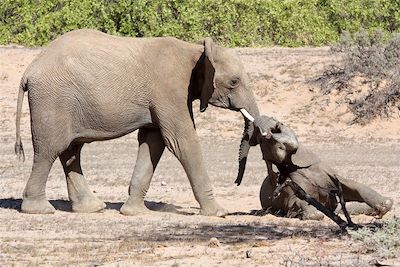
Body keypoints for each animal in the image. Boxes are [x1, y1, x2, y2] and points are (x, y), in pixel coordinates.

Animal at [14, 29, 260, 217]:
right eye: (234, 82)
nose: (236, 182)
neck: (195, 51)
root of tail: (29, 70)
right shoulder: (170, 90)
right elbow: (181, 141)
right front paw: (218, 213)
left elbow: (153, 141)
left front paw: (134, 212)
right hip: (52, 99)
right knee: (49, 150)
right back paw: (39, 210)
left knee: (71, 151)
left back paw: (93, 208)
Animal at [236, 116, 392, 229]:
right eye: (263, 141)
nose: (276, 124)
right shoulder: (290, 184)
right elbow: (298, 202)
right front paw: (314, 212)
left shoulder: (322, 168)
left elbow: (351, 185)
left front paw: (384, 205)